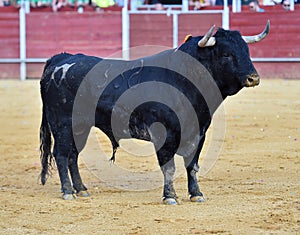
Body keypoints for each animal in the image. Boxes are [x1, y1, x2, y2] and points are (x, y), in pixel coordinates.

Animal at [38, 22, 270, 204]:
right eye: (226, 54)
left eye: (247, 52)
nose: (253, 78)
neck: (185, 80)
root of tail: (61, 59)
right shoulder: (164, 135)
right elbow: (169, 167)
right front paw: (170, 196)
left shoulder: (199, 133)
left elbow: (192, 166)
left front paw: (196, 194)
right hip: (63, 124)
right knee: (61, 154)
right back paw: (68, 192)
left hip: (80, 127)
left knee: (73, 155)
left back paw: (81, 189)